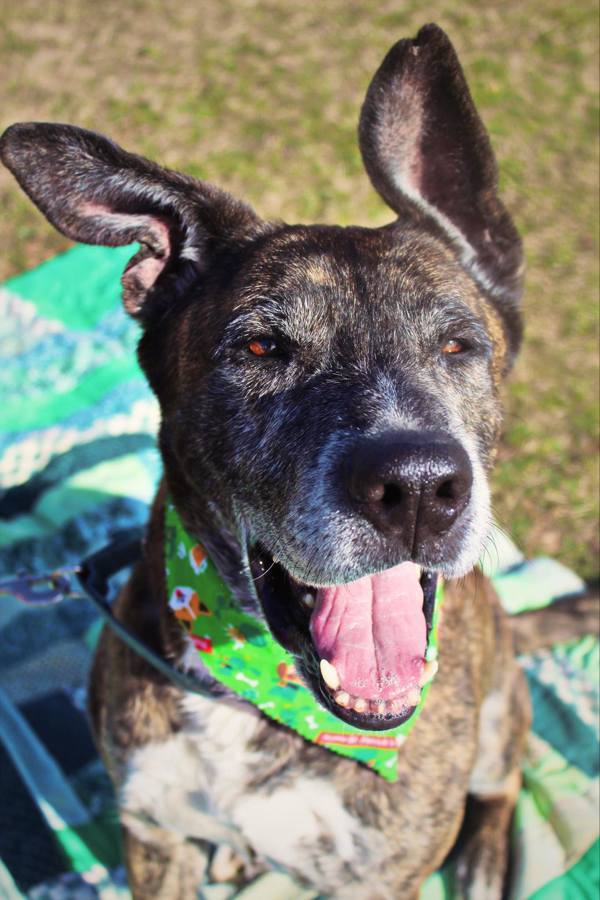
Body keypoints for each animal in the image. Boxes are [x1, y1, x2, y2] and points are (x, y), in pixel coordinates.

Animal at [0, 22, 548, 900]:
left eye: (459, 346)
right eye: (262, 348)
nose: (419, 487)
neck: (262, 696)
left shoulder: (384, 878)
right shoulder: (152, 835)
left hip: (499, 709)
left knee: (499, 782)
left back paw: (486, 858)